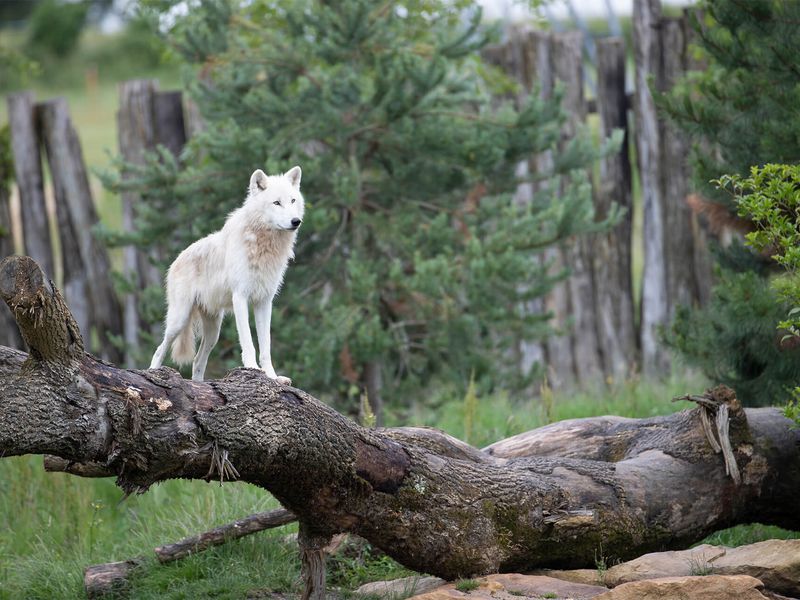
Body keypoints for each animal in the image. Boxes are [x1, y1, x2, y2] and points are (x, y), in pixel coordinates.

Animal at [149, 166, 305, 384]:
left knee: (197, 361)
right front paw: (252, 369)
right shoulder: (240, 297)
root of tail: (176, 260)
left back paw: (198, 386)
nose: (296, 221)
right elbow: (248, 342)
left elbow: (266, 346)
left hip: (214, 331)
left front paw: (272, 377)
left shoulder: (265, 302)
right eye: (276, 202)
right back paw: (151, 374)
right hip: (178, 320)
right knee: (159, 350)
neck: (264, 246)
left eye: (292, 201)